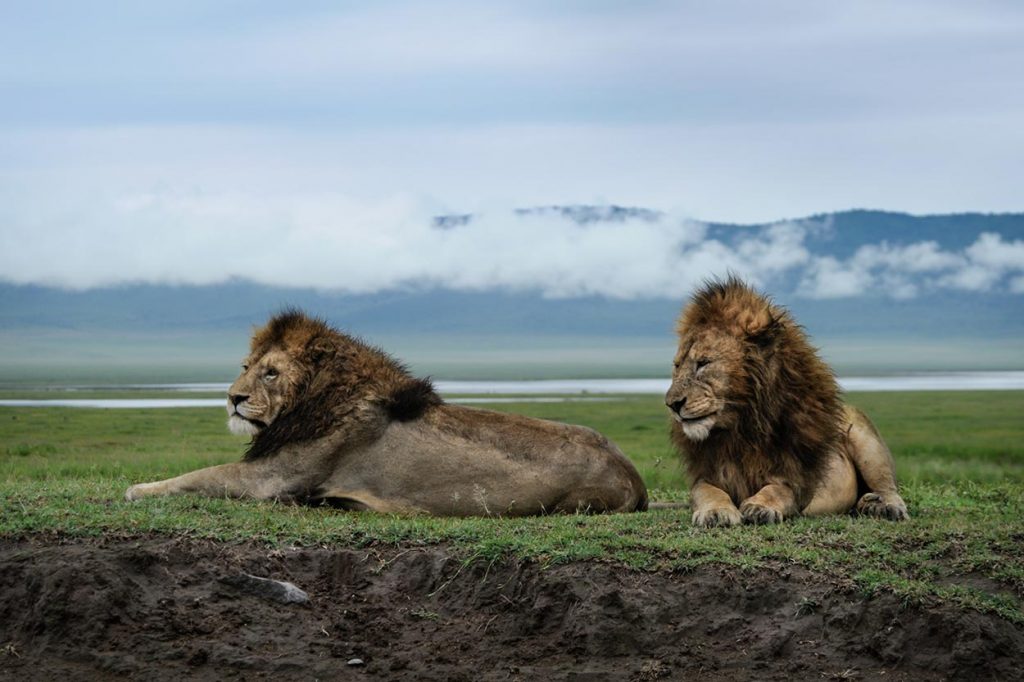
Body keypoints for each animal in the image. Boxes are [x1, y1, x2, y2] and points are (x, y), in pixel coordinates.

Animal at [125, 310, 648, 516]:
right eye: (245, 368)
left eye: (270, 373)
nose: (232, 397)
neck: (312, 402)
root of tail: (635, 477)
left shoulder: (271, 481)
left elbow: (200, 475)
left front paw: (137, 489)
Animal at [665, 278, 909, 527]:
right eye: (677, 366)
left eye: (703, 363)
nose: (672, 404)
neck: (742, 430)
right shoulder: (707, 473)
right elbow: (707, 491)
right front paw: (715, 512)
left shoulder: (798, 481)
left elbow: (778, 489)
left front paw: (760, 507)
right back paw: (867, 503)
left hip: (865, 438)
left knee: (888, 487)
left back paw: (885, 508)